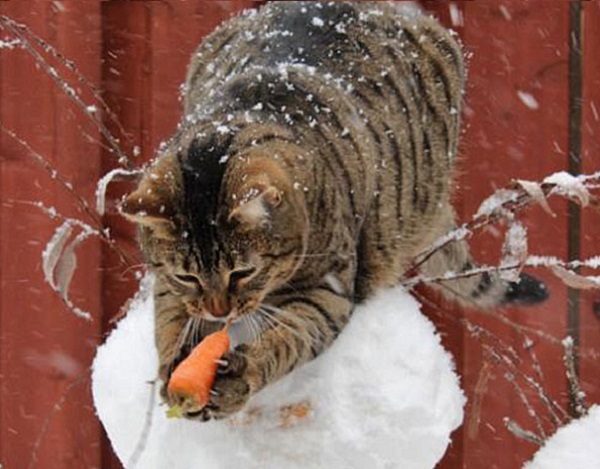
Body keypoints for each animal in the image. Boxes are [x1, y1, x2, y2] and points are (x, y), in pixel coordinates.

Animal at [119, 0, 548, 420]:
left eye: (243, 273)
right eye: (187, 276)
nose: (217, 311)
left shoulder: (329, 292)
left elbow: (287, 339)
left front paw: (242, 373)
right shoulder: (168, 286)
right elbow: (168, 322)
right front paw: (174, 365)